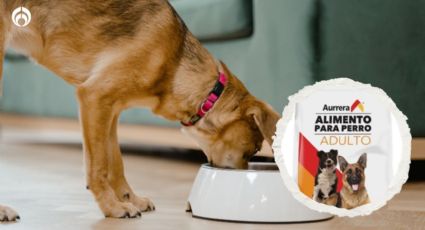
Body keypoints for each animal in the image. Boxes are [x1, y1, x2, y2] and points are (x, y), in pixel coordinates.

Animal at [0, 0, 280, 220]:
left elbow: (115, 162)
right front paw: (112, 208)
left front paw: (129, 199)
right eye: (254, 148)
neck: (175, 64)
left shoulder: (110, 110)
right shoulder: (94, 96)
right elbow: (98, 166)